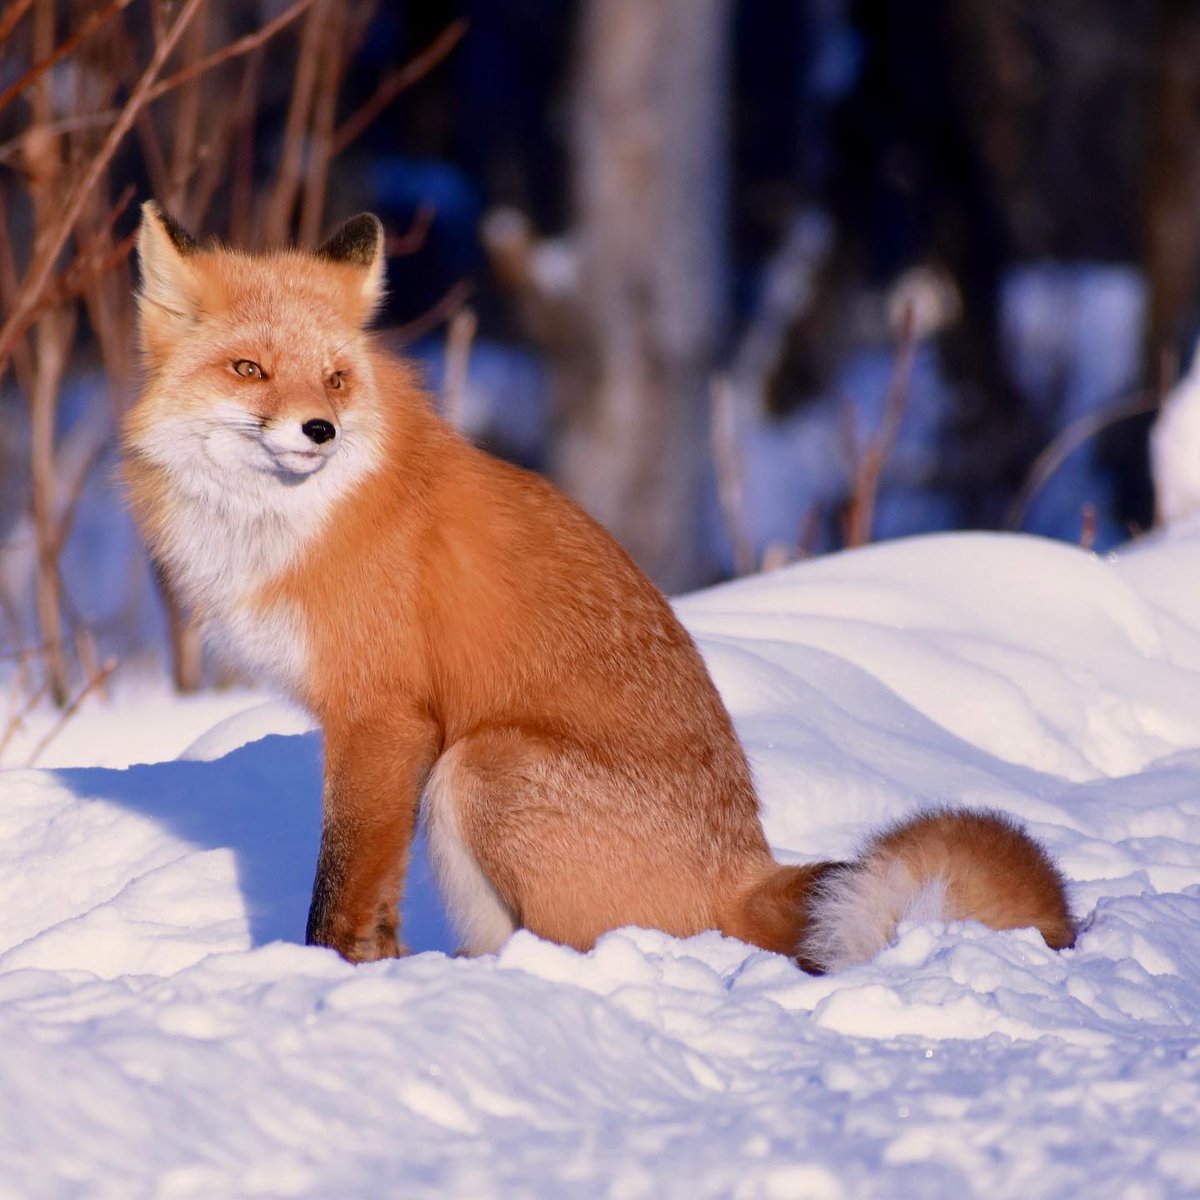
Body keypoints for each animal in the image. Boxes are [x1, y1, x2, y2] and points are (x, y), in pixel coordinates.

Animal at [121, 202, 1076, 970]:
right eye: (248, 369)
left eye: (335, 379)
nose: (318, 429)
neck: (299, 525)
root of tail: (743, 866)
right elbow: (377, 906)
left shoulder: (383, 716)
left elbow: (340, 892)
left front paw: (318, 977)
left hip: (480, 767)